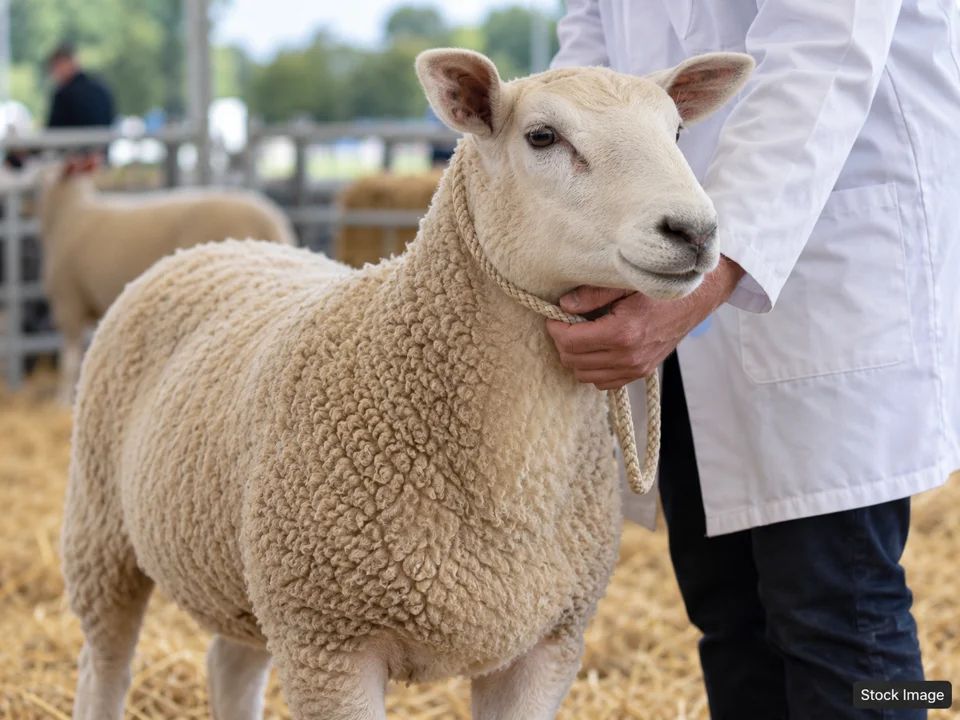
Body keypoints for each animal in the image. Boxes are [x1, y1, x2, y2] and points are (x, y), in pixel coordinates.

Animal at [31, 154, 297, 405]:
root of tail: (268, 217)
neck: (70, 214)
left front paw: (61, 399)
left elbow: (69, 359)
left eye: (42, 172)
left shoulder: (68, 299)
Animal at [60, 48, 754, 720]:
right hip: (102, 531)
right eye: (542, 136)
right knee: (104, 667)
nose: (694, 231)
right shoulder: (328, 644)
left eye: (677, 130)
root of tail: (222, 245)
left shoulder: (547, 645)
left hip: (244, 574)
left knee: (229, 666)